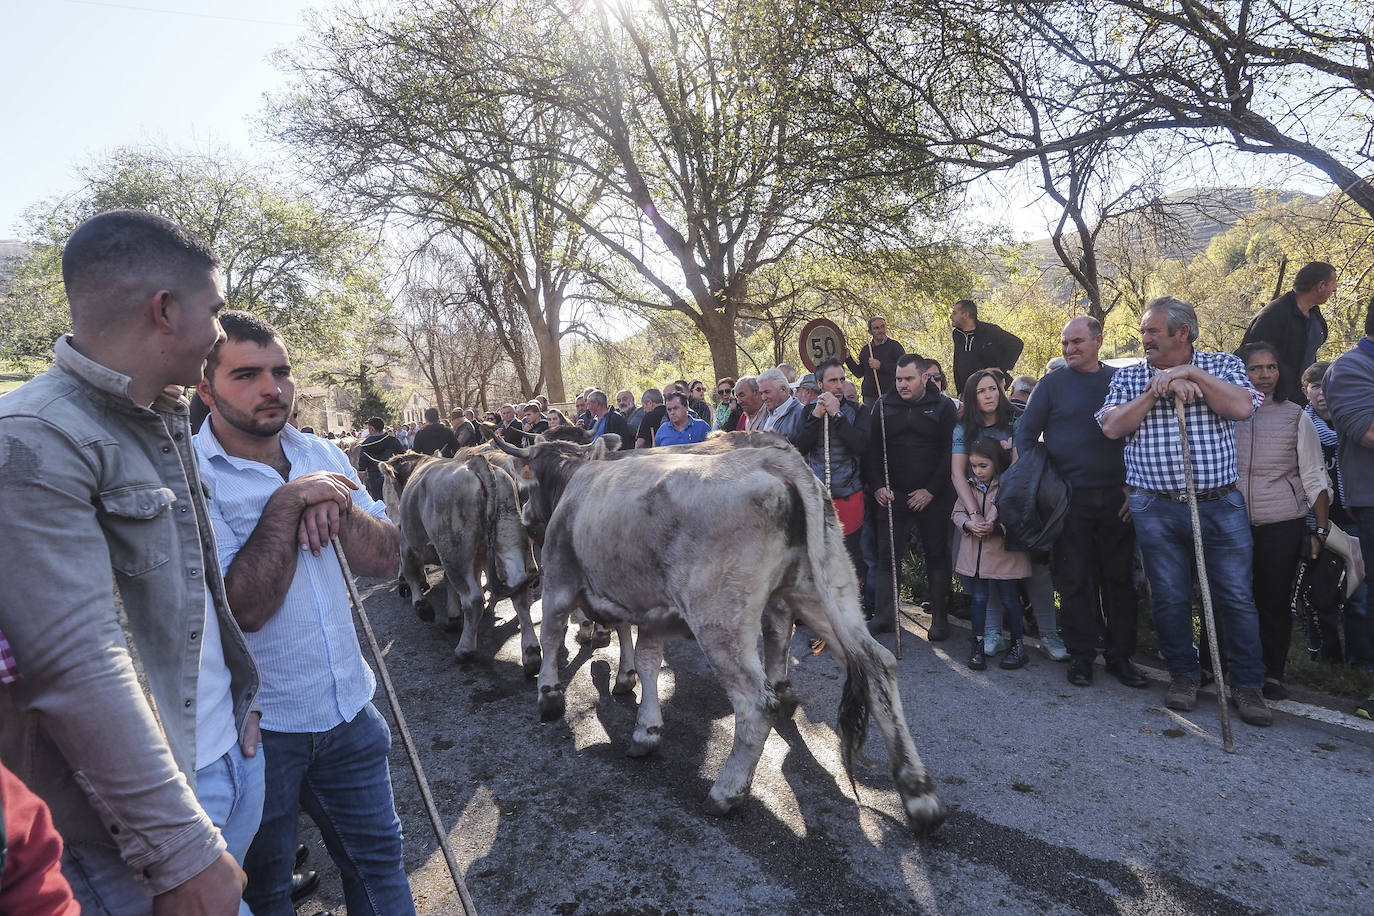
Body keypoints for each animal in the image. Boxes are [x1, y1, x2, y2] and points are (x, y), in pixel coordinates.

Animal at [384, 450, 544, 672]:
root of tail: (476, 465)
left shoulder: (407, 544)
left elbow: (412, 574)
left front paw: (422, 607)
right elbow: (447, 581)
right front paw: (452, 615)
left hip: (454, 550)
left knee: (473, 599)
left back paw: (465, 649)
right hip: (507, 536)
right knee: (520, 596)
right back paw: (531, 654)